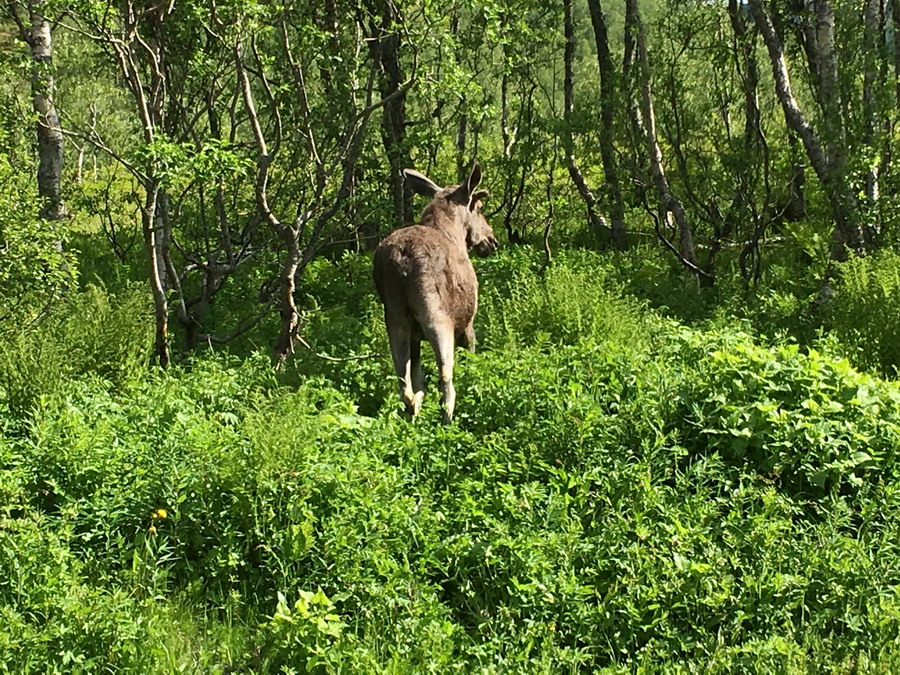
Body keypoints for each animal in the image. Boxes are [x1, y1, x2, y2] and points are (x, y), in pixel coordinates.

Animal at [372, 164, 500, 422]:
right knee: (445, 376)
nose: (492, 240)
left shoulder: (413, 335)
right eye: (479, 208)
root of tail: (402, 259)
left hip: (395, 318)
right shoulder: (467, 324)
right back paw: (446, 417)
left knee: (404, 384)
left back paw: (416, 408)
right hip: (437, 317)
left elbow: (416, 373)